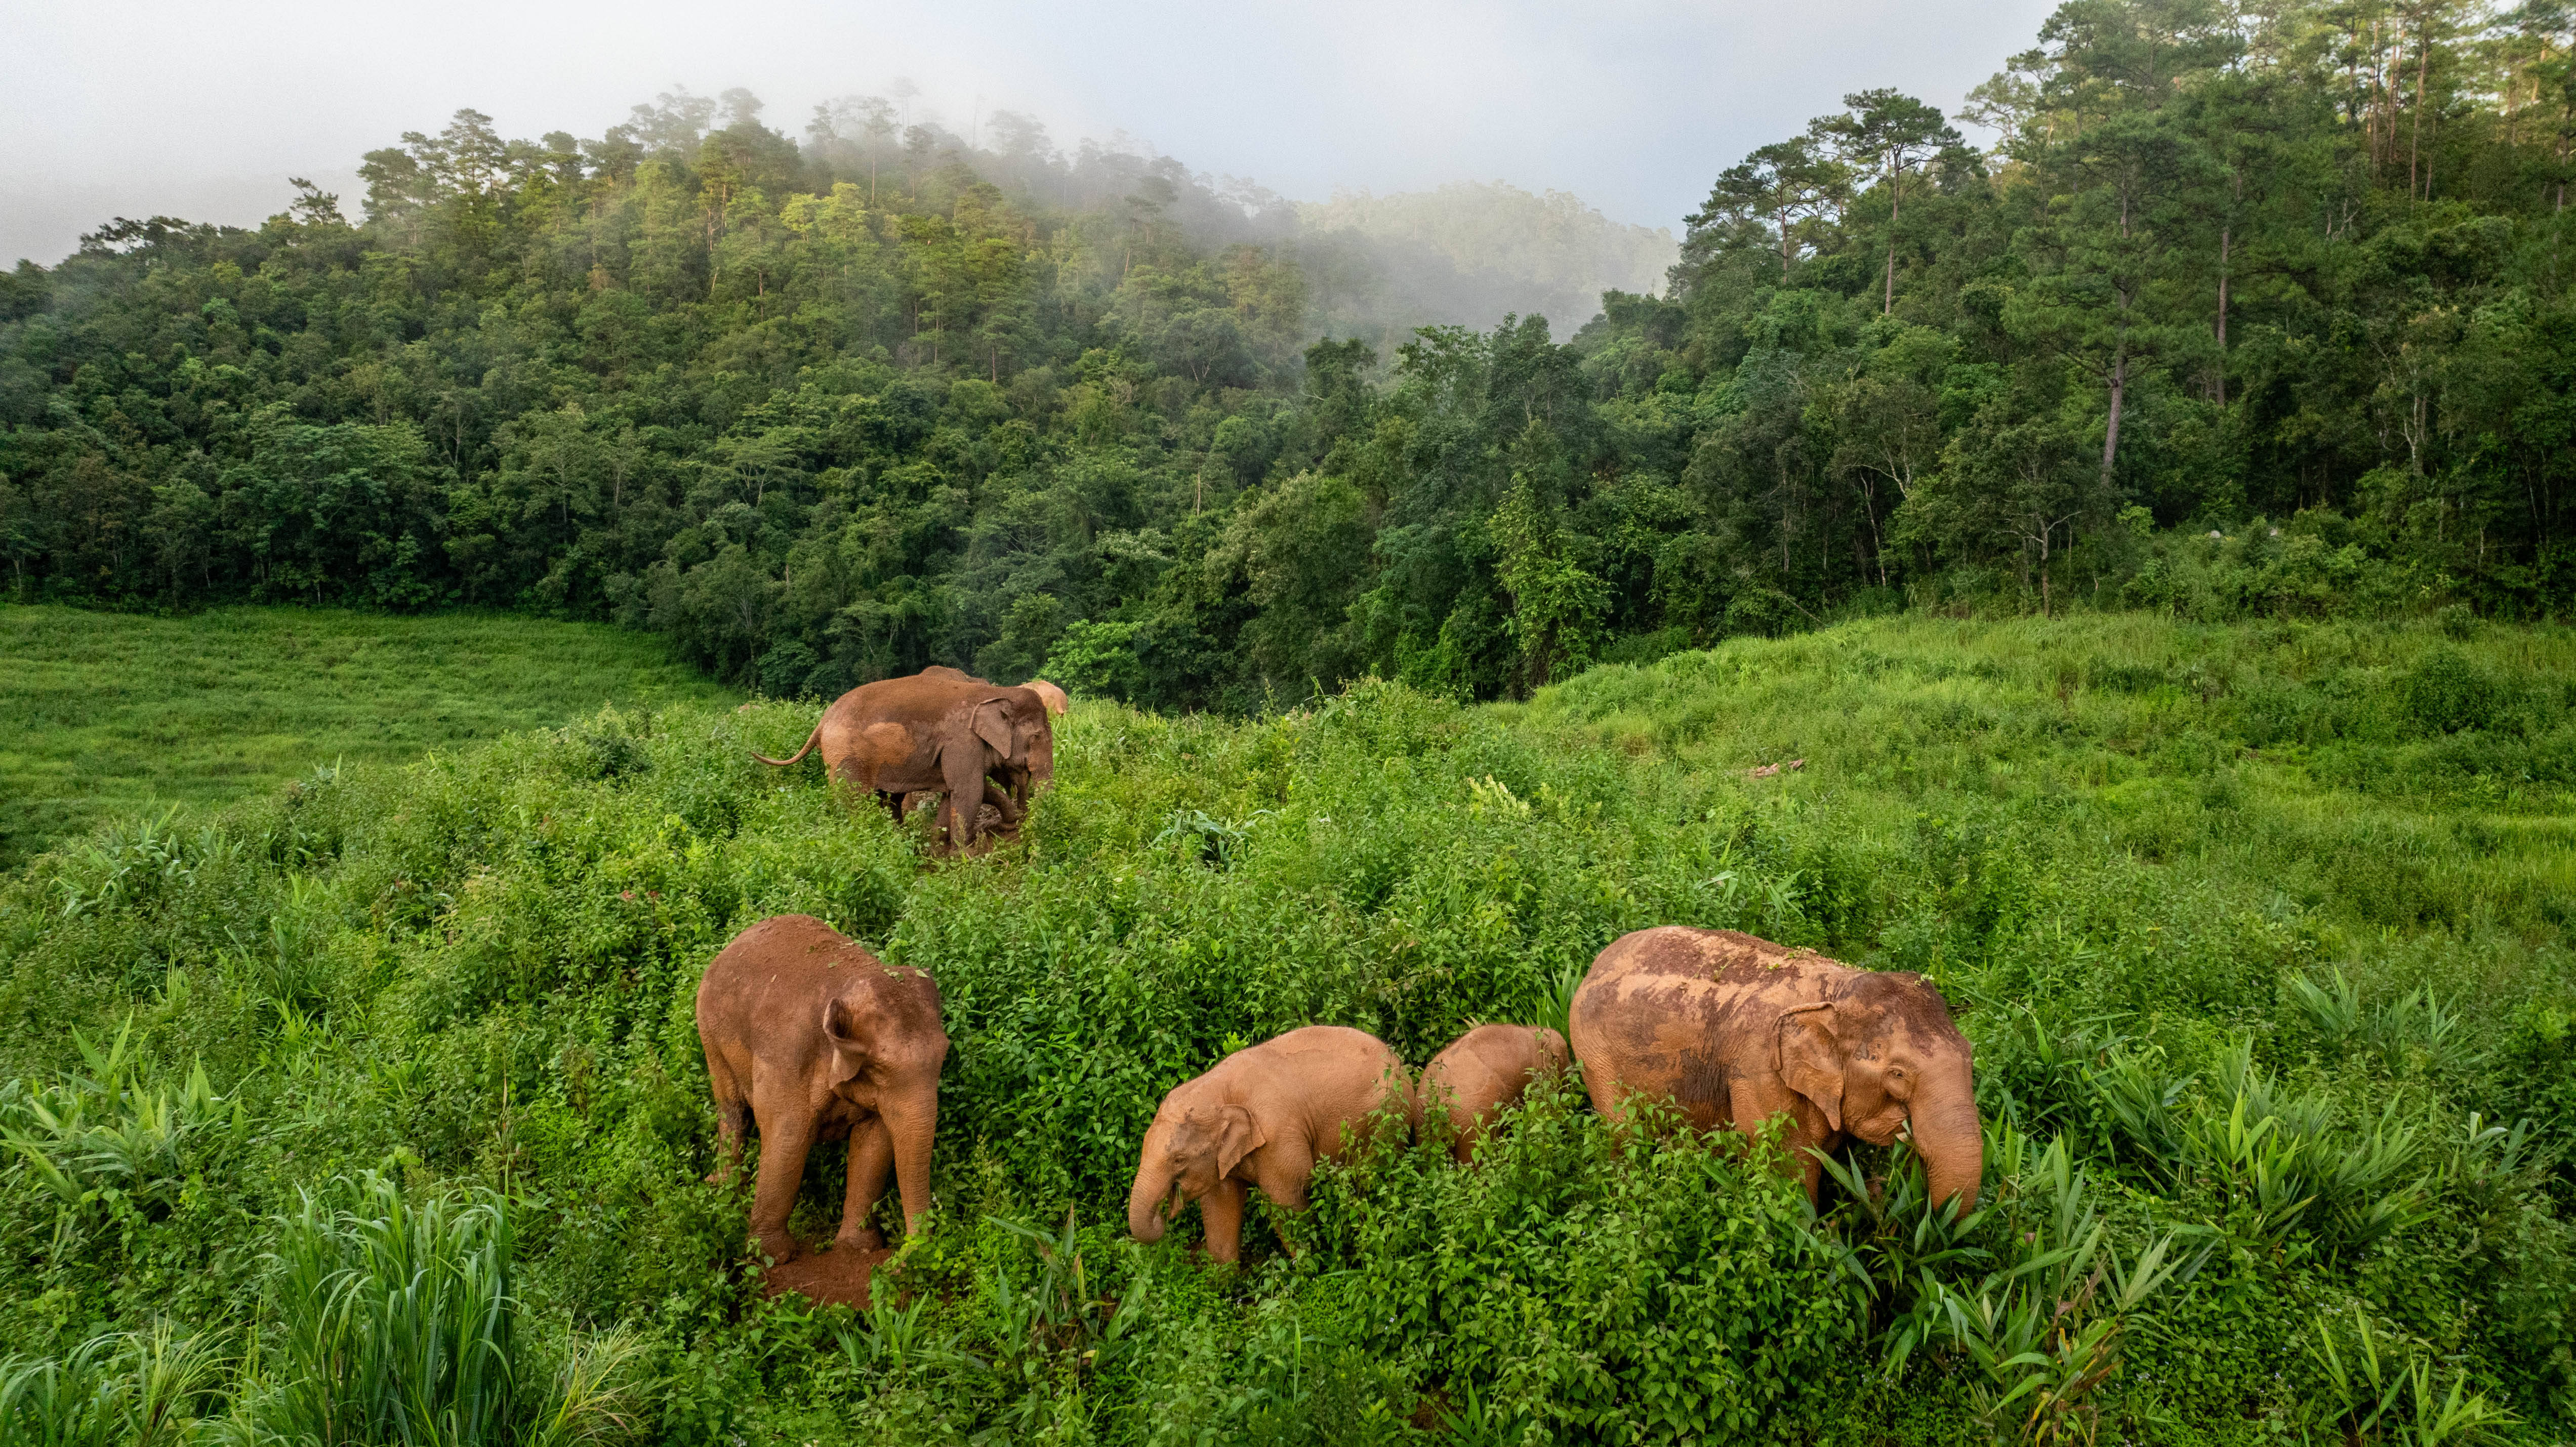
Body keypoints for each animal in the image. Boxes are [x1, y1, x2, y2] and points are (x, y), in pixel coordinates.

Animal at [696, 911, 948, 1261]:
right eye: (879, 1069)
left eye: (945, 1054)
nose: (903, 1256)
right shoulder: (787, 1058)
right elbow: (787, 1138)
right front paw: (773, 1258)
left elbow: (875, 1144)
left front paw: (857, 1250)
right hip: (710, 1033)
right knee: (733, 1111)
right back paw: (724, 1190)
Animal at [752, 669, 1056, 849]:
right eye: (1036, 737)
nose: (1022, 823)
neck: (994, 693)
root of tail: (822, 722)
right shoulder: (962, 741)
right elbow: (969, 790)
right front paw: (966, 857)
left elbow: (955, 792)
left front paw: (935, 845)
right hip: (846, 757)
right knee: (855, 801)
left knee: (888, 799)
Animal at [1123, 1019, 1422, 1256]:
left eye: (1179, 1160)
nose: (1163, 1216)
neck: (1217, 1090)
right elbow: (1221, 1205)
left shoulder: (1279, 1138)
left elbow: (1287, 1202)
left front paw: (1306, 1274)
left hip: (1387, 1121)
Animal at [1556, 922, 1978, 1205]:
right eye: (1897, 1073)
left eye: (1970, 1055)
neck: (1836, 989)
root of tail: (1593, 965)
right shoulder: (1759, 1074)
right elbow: (1786, 1174)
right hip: (1595, 1057)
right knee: (1622, 1135)